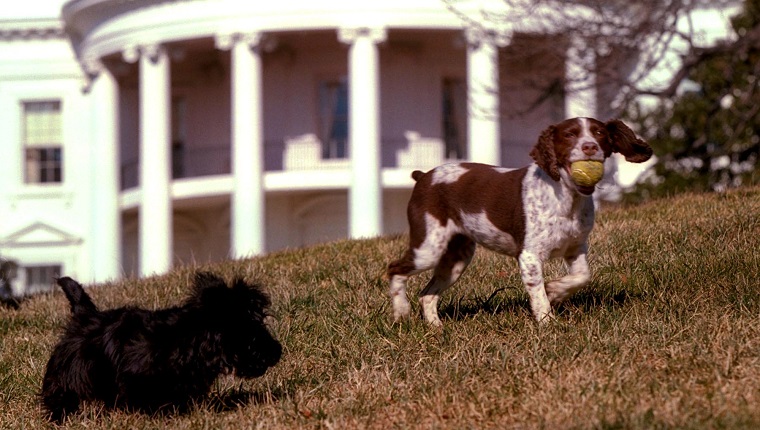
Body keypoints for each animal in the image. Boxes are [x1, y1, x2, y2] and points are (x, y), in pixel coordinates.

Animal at [40, 274, 282, 422]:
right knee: (58, 394)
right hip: (65, 373)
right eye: (252, 333)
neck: (191, 338)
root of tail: (85, 315)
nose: (277, 350)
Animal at [388, 116, 652, 324]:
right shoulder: (529, 255)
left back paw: (436, 328)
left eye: (599, 133)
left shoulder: (576, 247)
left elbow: (583, 276)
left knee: (427, 294)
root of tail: (424, 176)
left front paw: (556, 291)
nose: (589, 147)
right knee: (394, 269)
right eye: (569, 135)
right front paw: (547, 323)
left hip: (456, 257)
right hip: (429, 247)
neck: (566, 197)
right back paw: (401, 312)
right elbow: (539, 295)